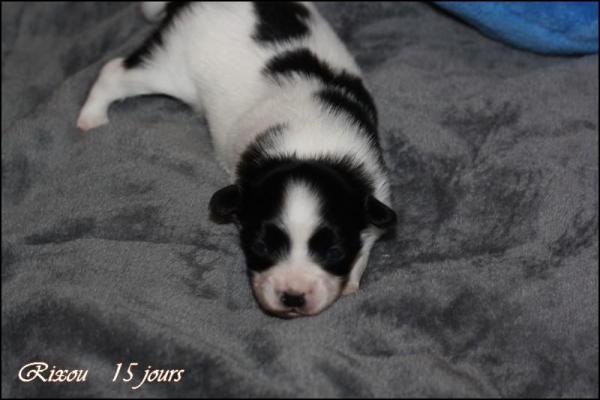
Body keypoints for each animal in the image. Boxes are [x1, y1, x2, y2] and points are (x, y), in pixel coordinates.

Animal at [77, 2, 397, 318]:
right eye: (261, 247)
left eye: (334, 252)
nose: (293, 297)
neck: (309, 150)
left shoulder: (375, 189)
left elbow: (367, 239)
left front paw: (351, 279)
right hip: (168, 65)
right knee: (113, 72)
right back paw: (91, 117)